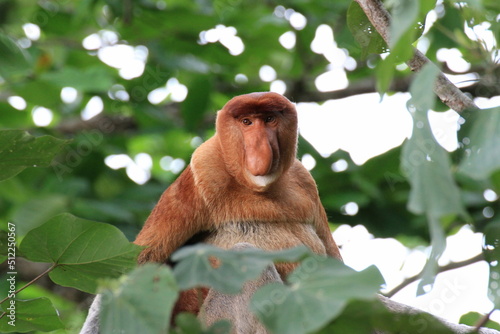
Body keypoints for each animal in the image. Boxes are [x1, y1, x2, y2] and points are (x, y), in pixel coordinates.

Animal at [134, 91, 344, 316]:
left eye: (269, 119)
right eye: (246, 122)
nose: (259, 147)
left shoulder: (304, 180)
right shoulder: (202, 168)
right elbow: (142, 261)